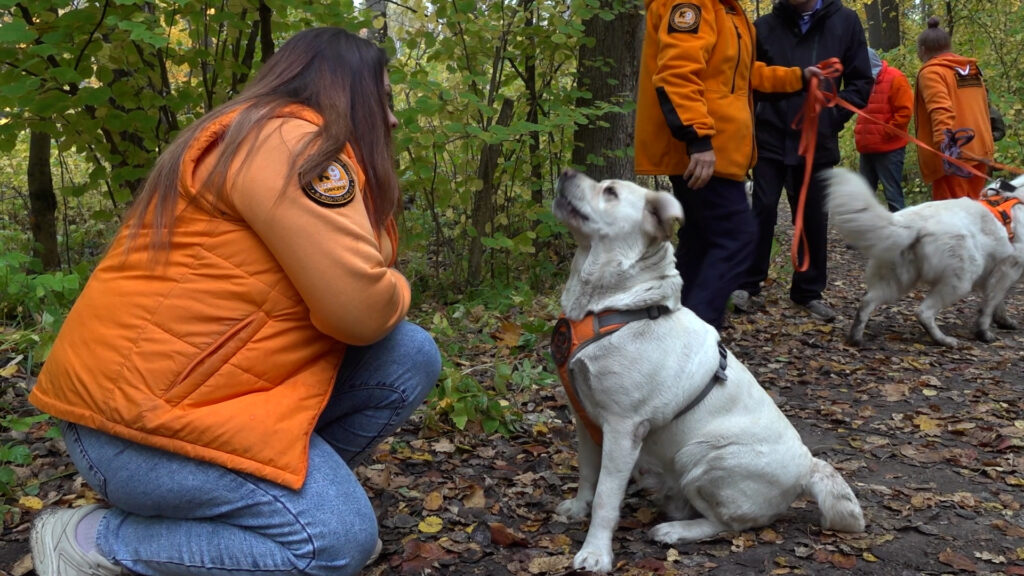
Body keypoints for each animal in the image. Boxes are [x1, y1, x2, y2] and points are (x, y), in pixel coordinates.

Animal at [551, 169, 865, 573]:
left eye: (610, 192)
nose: (566, 172)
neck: (613, 307)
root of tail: (808, 466)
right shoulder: (584, 417)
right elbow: (588, 474)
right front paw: (578, 508)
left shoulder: (623, 428)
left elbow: (606, 495)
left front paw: (595, 552)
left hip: (700, 455)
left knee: (727, 523)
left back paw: (675, 530)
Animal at [825, 167, 1024, 347]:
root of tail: (911, 221)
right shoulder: (1008, 269)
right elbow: (990, 304)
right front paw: (983, 332)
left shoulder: (995, 272)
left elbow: (997, 301)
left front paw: (1003, 321)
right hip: (962, 280)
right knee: (923, 313)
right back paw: (944, 340)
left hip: (896, 280)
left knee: (866, 303)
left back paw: (856, 338)